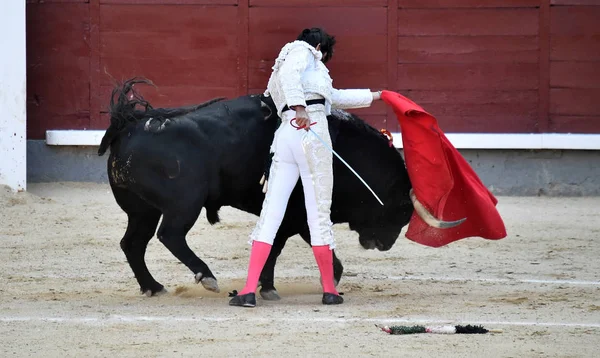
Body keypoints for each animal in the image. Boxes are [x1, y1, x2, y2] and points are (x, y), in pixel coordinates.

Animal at [98, 79, 458, 300]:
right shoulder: (296, 213)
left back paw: (153, 286)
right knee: (169, 235)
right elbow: (277, 247)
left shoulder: (295, 216)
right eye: (401, 210)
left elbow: (282, 246)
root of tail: (128, 125)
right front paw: (271, 287)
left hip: (141, 210)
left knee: (133, 243)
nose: (383, 245)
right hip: (184, 204)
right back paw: (206, 276)